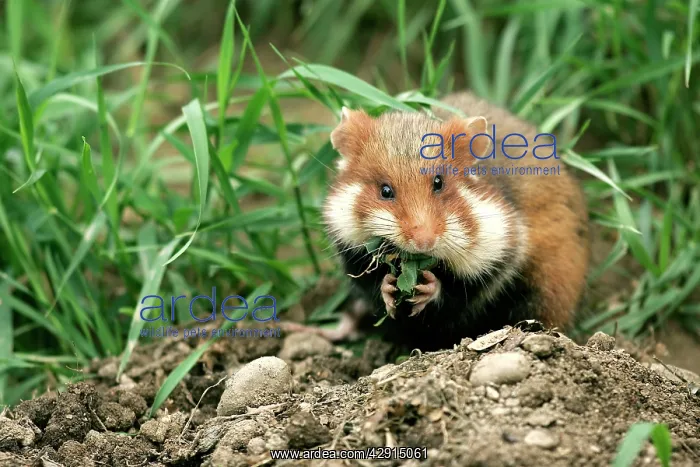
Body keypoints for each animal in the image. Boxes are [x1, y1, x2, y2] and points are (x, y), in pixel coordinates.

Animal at [304, 91, 590, 351]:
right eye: (385, 191)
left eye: (439, 183)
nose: (424, 242)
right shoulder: (349, 248)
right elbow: (371, 284)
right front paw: (388, 287)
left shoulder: (500, 257)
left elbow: (458, 291)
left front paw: (427, 288)